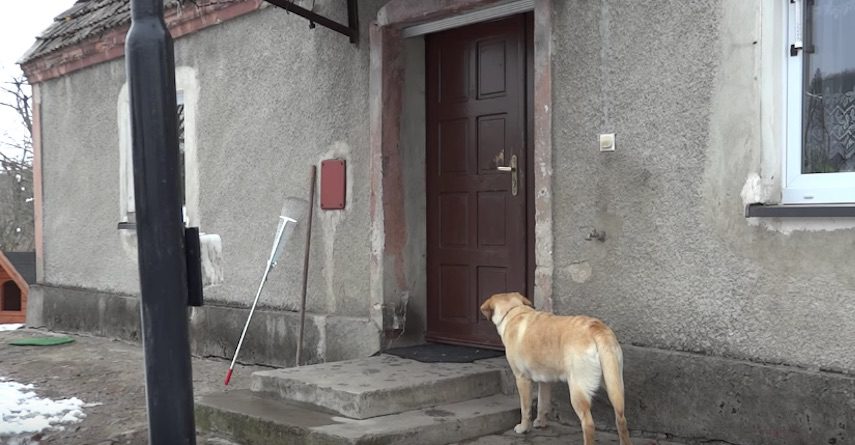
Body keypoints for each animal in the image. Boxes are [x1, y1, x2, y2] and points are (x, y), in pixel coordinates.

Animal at [478, 292, 632, 444]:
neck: (514, 311)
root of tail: (596, 328)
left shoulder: (522, 379)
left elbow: (525, 408)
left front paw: (524, 428)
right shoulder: (545, 381)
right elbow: (542, 403)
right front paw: (541, 422)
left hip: (578, 390)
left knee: (588, 424)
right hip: (614, 386)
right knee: (621, 420)